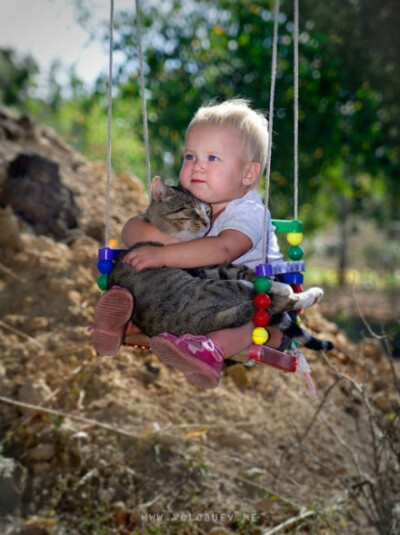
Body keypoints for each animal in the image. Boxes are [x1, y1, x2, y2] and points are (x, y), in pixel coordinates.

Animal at [107, 176, 334, 352]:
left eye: (208, 211)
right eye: (189, 210)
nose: (207, 222)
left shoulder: (208, 266)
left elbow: (240, 269)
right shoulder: (204, 269)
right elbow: (240, 271)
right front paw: (276, 283)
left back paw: (310, 294)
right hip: (214, 289)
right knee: (267, 299)